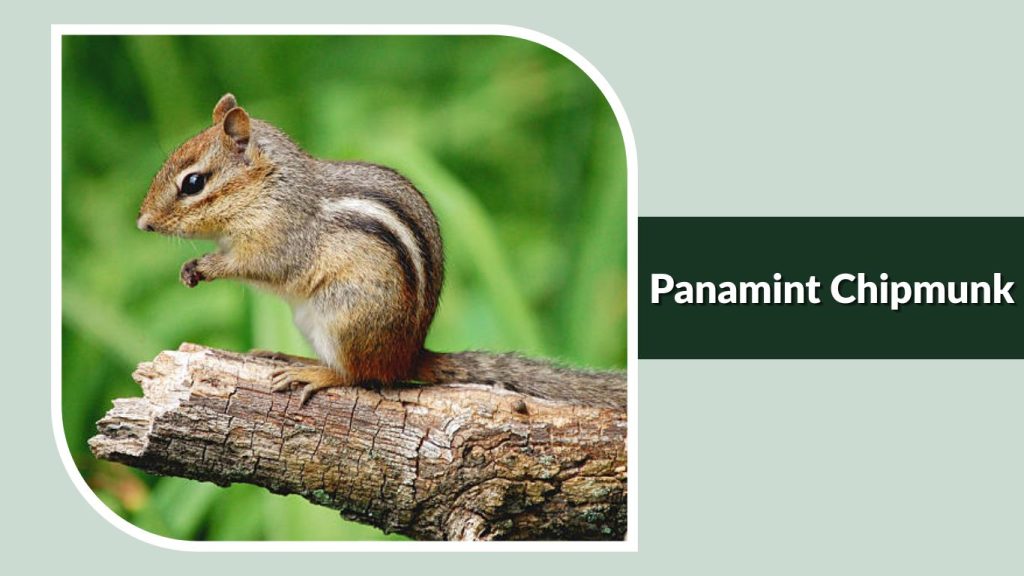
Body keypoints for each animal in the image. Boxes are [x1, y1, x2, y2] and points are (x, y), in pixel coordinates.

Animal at [137, 94, 625, 410]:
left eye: (193, 183)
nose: (143, 224)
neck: (269, 186)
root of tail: (409, 354)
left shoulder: (280, 237)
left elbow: (257, 265)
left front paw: (204, 266)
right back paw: (292, 357)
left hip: (344, 314)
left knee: (357, 375)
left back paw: (313, 372)